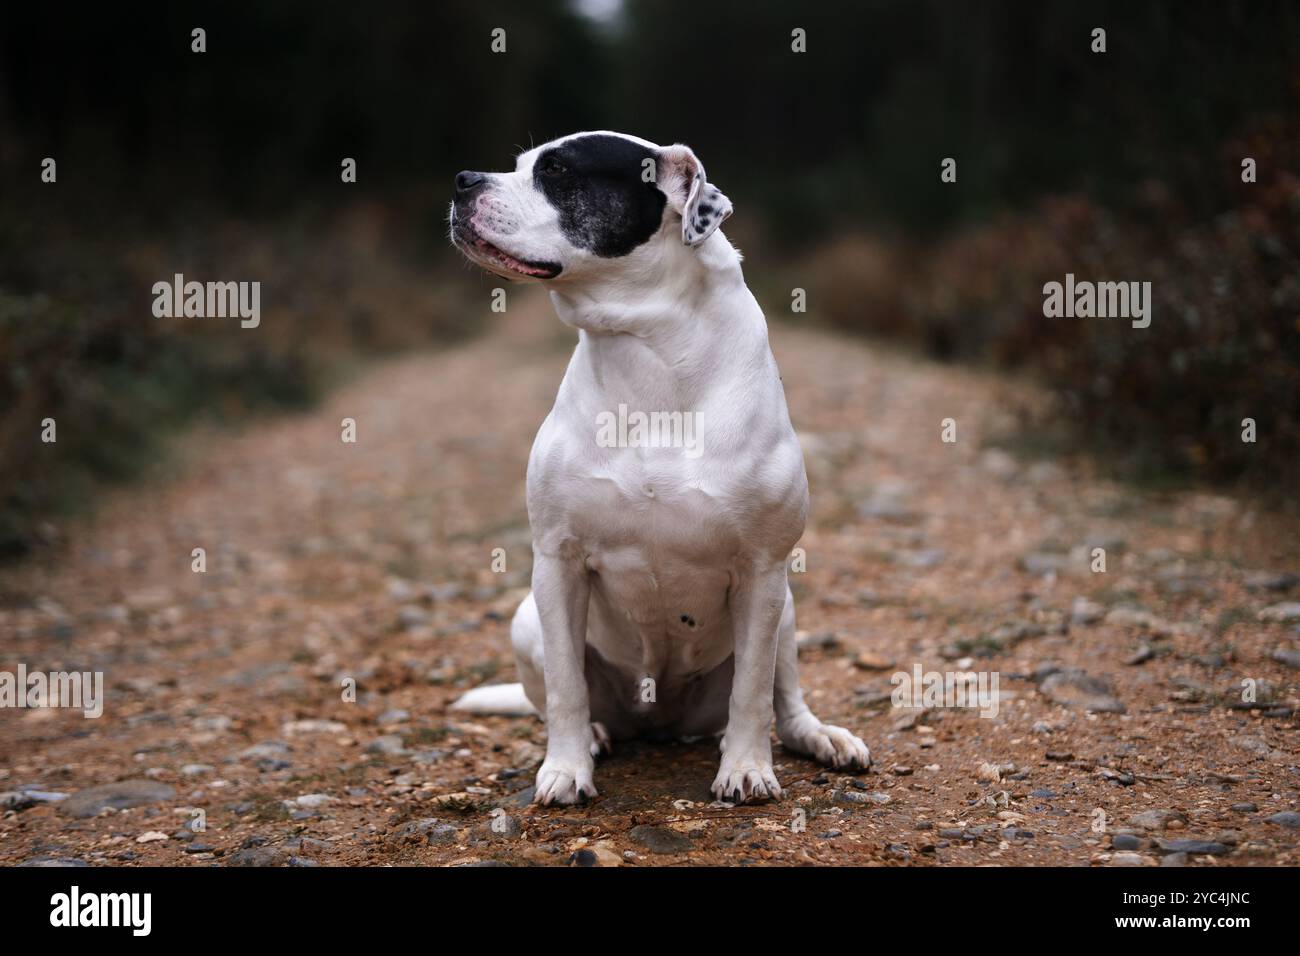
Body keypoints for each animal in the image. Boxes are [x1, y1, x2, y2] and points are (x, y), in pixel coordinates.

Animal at [452, 130, 868, 806]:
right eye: (517, 165)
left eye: (557, 171)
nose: (463, 179)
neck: (644, 347)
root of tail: (663, 722)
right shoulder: (558, 563)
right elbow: (566, 688)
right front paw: (565, 768)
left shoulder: (761, 570)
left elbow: (752, 693)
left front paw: (746, 769)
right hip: (525, 619)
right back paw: (596, 735)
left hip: (785, 609)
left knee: (784, 701)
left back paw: (821, 738)